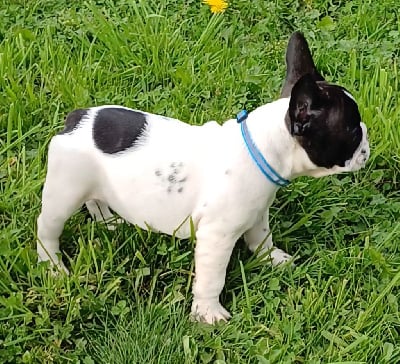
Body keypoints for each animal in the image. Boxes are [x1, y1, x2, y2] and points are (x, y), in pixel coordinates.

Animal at [36, 30, 368, 322]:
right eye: (352, 131)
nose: (367, 140)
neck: (263, 146)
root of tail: (77, 118)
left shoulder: (257, 212)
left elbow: (261, 237)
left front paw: (270, 257)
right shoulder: (216, 236)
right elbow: (212, 278)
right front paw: (208, 313)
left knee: (96, 200)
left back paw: (108, 220)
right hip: (64, 191)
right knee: (47, 229)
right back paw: (53, 267)